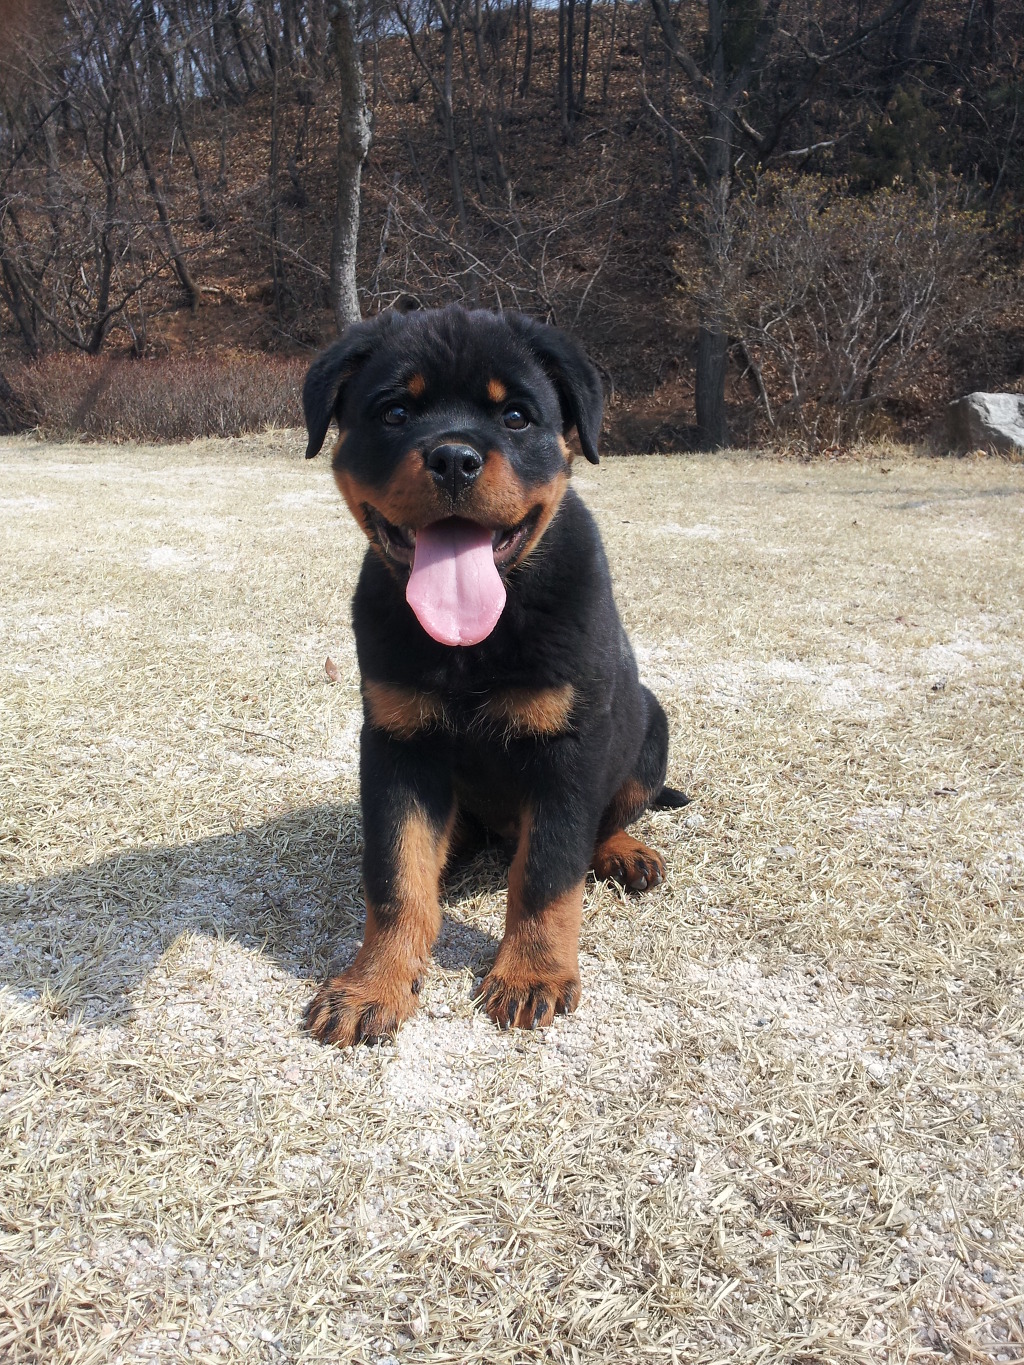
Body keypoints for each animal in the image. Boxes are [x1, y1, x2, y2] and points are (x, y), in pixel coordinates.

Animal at [301, 304, 686, 1045]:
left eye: (515, 416)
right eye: (395, 411)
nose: (454, 457)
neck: (474, 639)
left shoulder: (568, 746)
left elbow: (548, 872)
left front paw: (532, 974)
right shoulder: (396, 742)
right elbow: (396, 874)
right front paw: (373, 984)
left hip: (648, 727)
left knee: (602, 821)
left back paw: (625, 852)